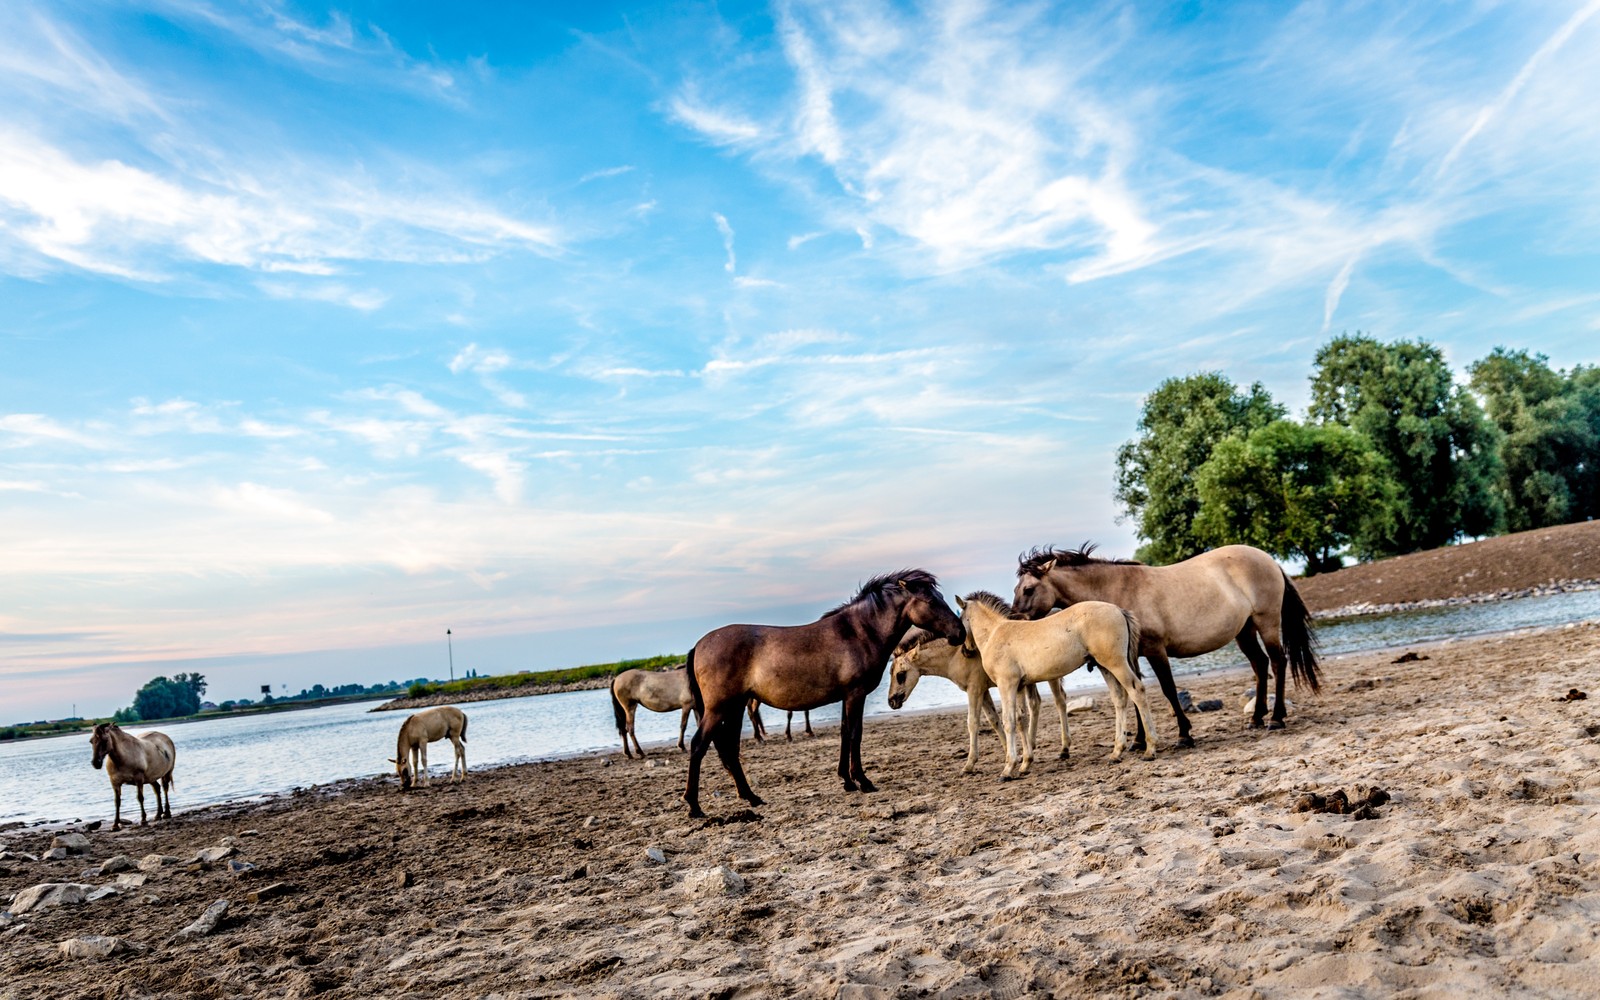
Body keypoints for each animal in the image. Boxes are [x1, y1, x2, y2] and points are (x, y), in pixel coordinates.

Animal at [684, 566, 960, 816]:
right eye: (931, 601)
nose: (959, 632)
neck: (858, 632)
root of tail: (699, 645)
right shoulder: (855, 695)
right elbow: (855, 734)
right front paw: (863, 781)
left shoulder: (846, 697)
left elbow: (844, 733)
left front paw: (847, 781)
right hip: (719, 708)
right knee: (699, 745)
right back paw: (695, 807)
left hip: (736, 707)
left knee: (730, 749)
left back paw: (751, 797)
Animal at [883, 627, 1068, 777]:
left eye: (900, 674)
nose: (891, 701)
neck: (956, 655)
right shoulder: (984, 691)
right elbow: (994, 720)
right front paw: (1009, 755)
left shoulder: (974, 690)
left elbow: (972, 722)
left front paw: (969, 765)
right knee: (1035, 704)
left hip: (1051, 675)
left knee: (1060, 700)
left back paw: (1064, 749)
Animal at [953, 588, 1158, 777]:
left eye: (960, 619)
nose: (965, 650)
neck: (995, 634)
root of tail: (1118, 610)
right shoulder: (1019, 687)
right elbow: (1021, 719)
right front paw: (1025, 763)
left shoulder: (1006, 684)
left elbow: (1008, 721)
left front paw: (1008, 768)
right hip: (1104, 666)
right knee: (1119, 699)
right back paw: (1116, 751)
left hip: (1115, 663)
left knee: (1137, 691)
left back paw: (1150, 749)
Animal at [1017, 540, 1318, 745]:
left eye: (1028, 589)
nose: (1017, 619)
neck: (1118, 590)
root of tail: (1268, 559)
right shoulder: (1131, 655)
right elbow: (1135, 692)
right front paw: (1139, 740)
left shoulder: (1155, 650)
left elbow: (1169, 690)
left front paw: (1184, 734)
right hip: (1244, 631)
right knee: (1260, 665)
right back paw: (1256, 718)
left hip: (1266, 623)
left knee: (1278, 662)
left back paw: (1276, 719)